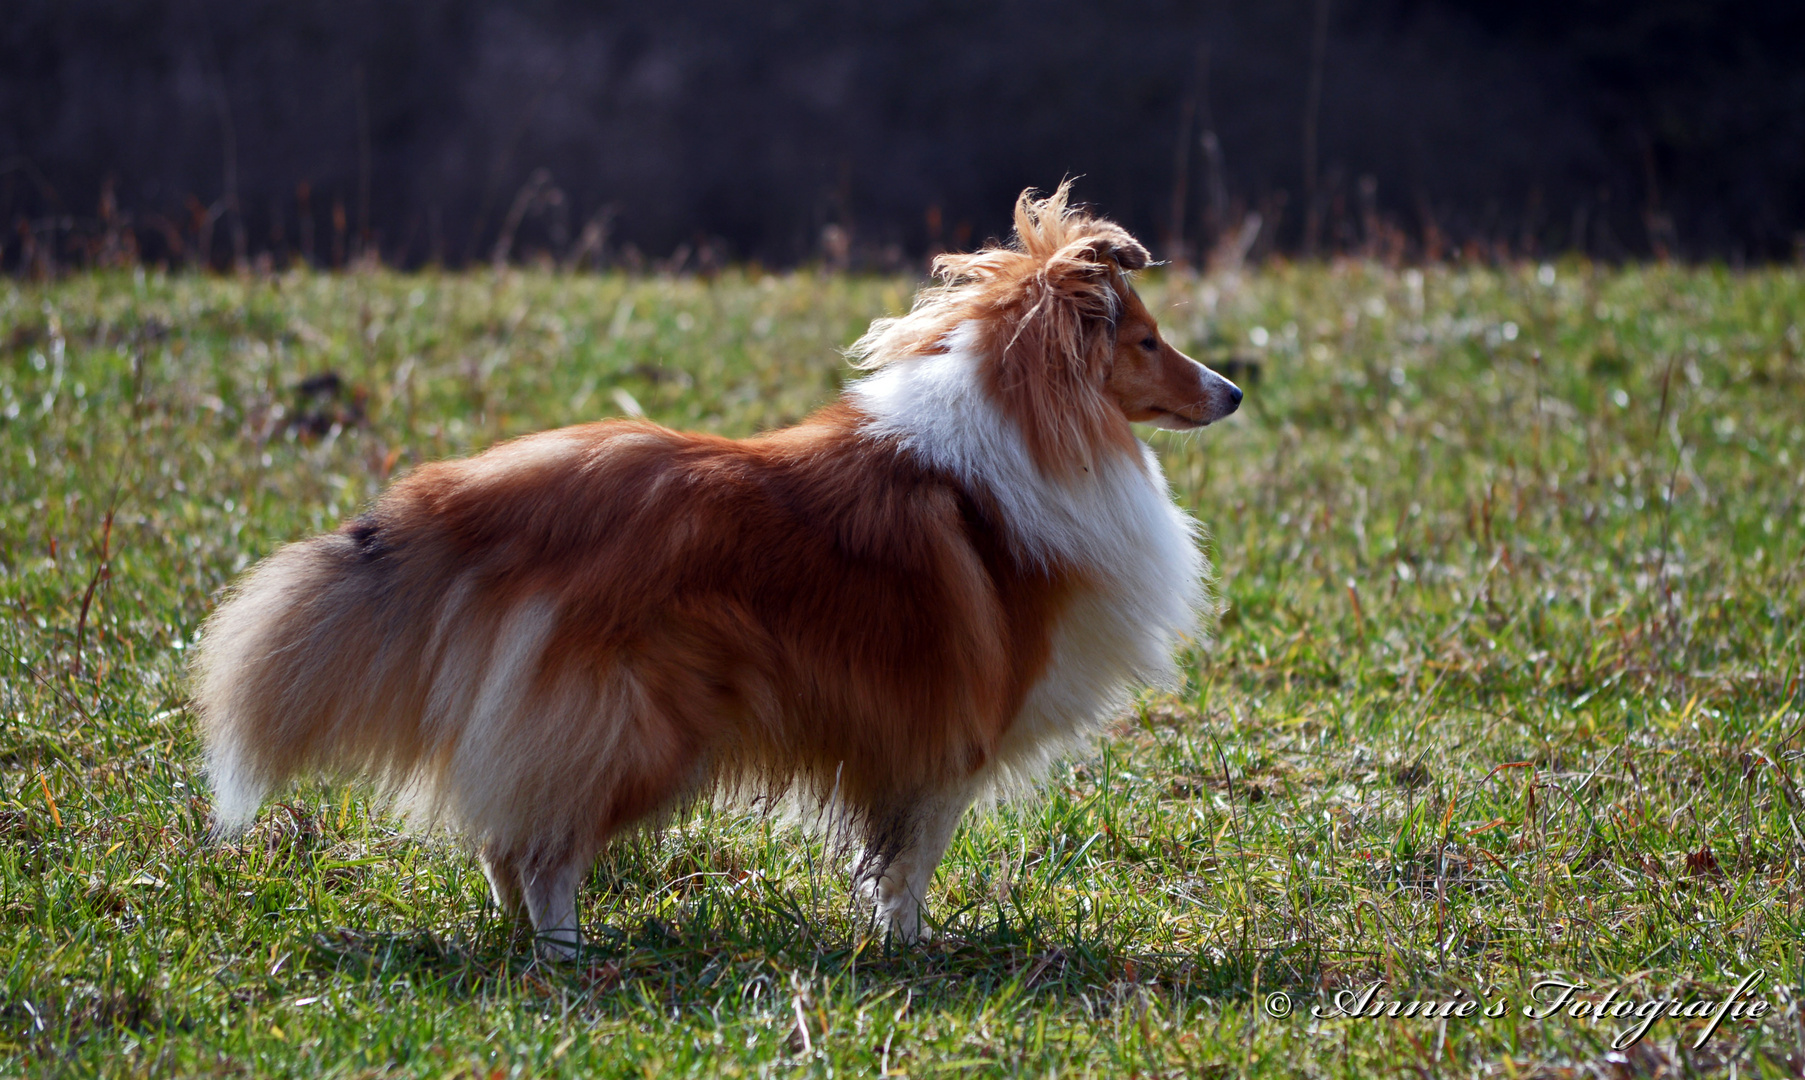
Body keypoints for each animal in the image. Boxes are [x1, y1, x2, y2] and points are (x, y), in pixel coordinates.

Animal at [194, 186, 1241, 953]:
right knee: (542, 851)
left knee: (505, 836)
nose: (1232, 392)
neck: (1023, 434)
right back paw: (570, 955)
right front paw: (913, 951)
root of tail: (475, 494)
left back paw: (523, 942)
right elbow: (911, 861)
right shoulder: (950, 736)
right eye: (1147, 342)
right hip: (644, 728)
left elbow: (889, 857)